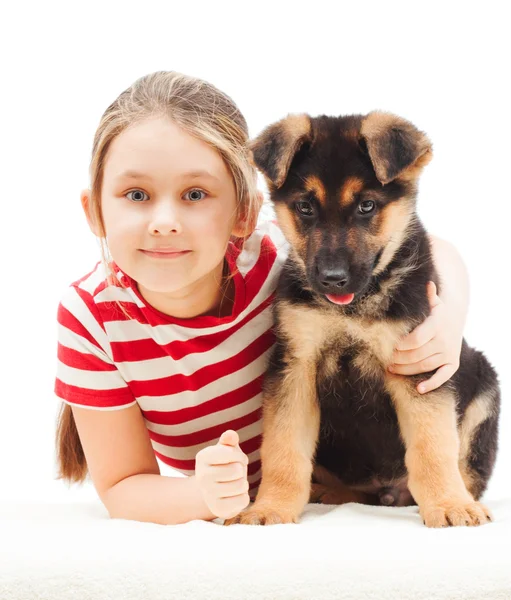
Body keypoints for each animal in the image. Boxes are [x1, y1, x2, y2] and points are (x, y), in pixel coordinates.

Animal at [227, 110, 500, 528]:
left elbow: (432, 445)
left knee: (464, 467)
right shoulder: (294, 367)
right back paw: (330, 493)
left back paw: (464, 500)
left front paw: (448, 504)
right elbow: (283, 449)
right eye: (305, 208)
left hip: (484, 387)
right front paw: (271, 506)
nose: (332, 279)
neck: (352, 309)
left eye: (367, 206)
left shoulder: (418, 367)